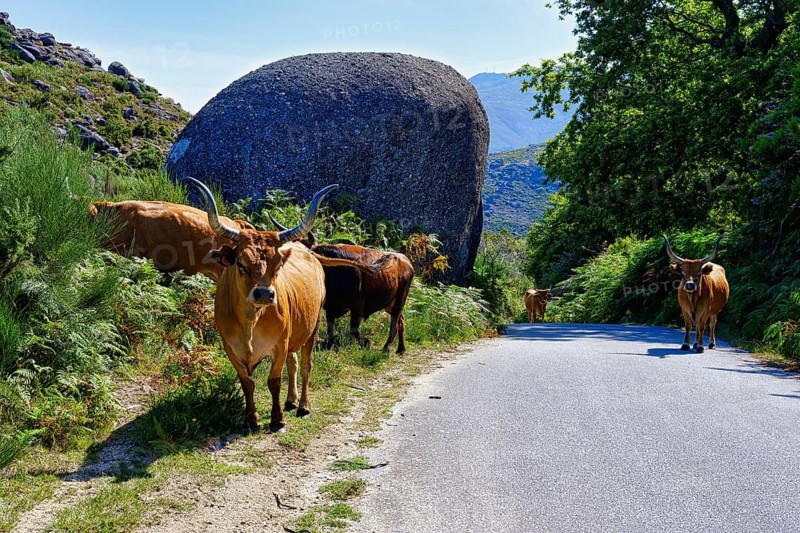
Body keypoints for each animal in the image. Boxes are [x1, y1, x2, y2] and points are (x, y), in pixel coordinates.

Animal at [188, 178, 372, 432]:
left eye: (277, 266)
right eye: (241, 264)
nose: (264, 294)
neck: (250, 321)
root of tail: (306, 250)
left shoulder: (279, 344)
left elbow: (274, 381)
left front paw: (277, 420)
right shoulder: (231, 349)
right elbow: (247, 383)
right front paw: (251, 420)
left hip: (312, 327)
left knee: (305, 366)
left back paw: (303, 405)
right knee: (293, 363)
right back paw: (291, 400)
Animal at [268, 215, 414, 354]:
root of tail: (405, 260)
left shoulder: (357, 306)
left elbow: (354, 330)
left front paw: (366, 343)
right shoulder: (331, 307)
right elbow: (330, 329)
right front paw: (329, 344)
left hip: (399, 300)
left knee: (394, 323)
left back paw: (387, 347)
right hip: (389, 303)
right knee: (401, 321)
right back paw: (401, 348)